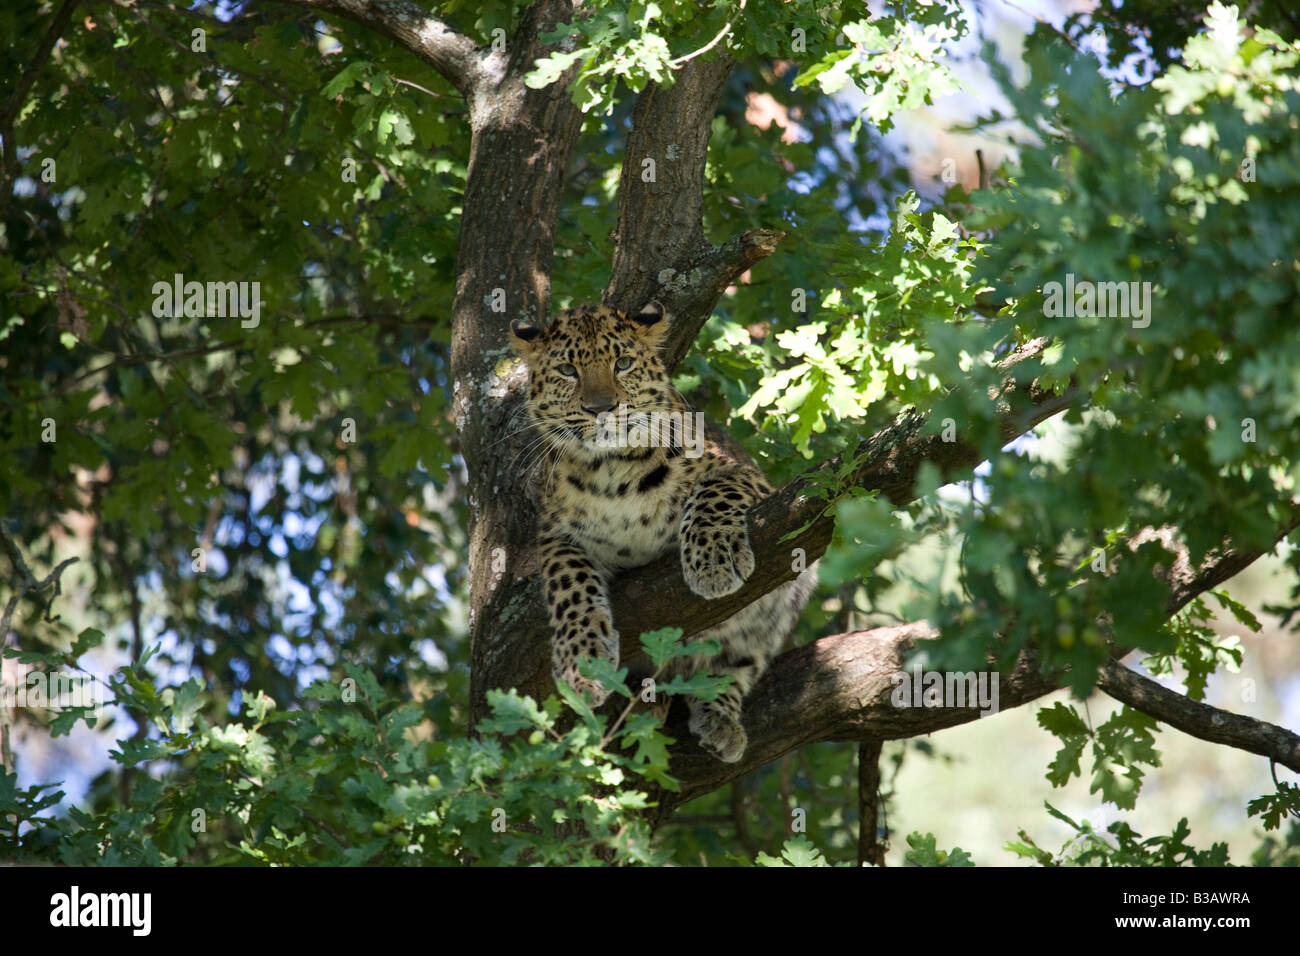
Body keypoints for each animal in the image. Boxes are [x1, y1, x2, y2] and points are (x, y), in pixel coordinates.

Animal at [509, 299, 816, 763]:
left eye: (622, 363)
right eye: (567, 370)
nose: (601, 408)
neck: (610, 474)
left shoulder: (751, 479)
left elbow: (714, 492)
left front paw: (712, 563)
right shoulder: (556, 535)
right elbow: (572, 588)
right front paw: (583, 663)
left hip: (787, 597)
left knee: (741, 660)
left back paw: (718, 715)